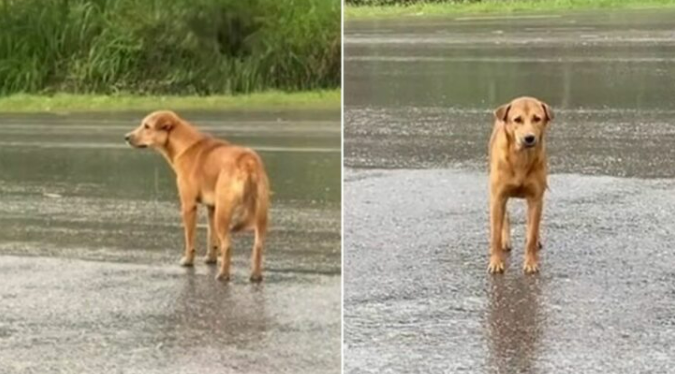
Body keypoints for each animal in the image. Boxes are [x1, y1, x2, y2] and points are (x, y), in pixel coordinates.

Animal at [125, 109, 268, 282]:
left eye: (147, 126)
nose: (126, 137)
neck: (185, 145)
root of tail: (247, 161)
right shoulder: (211, 208)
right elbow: (211, 238)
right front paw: (211, 258)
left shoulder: (188, 205)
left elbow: (190, 239)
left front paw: (188, 261)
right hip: (259, 214)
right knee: (258, 246)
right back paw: (255, 275)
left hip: (224, 213)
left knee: (227, 245)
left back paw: (223, 275)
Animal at [492, 96, 556, 274]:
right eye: (517, 120)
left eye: (537, 118)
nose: (529, 138)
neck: (521, 158)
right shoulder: (498, 197)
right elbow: (495, 235)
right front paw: (496, 262)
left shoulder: (535, 198)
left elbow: (532, 234)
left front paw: (531, 262)